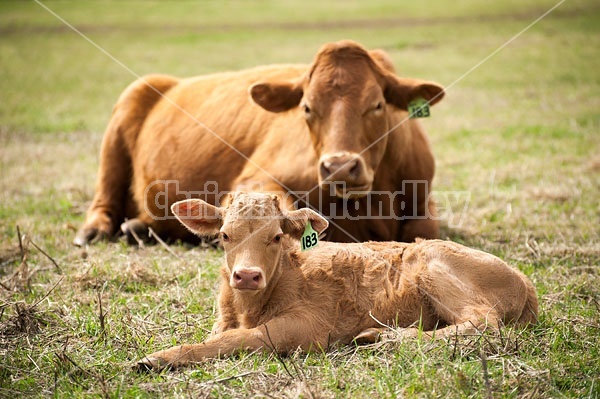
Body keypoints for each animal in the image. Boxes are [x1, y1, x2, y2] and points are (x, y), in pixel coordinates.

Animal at [72, 40, 442, 247]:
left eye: (377, 105)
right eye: (307, 108)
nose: (339, 167)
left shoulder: (424, 201)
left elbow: (425, 230)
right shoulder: (255, 176)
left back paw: (141, 229)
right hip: (127, 107)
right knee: (105, 195)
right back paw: (95, 231)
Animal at [137, 192, 540, 370]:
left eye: (276, 237)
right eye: (224, 235)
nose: (247, 275)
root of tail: (525, 281)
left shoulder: (307, 326)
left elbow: (240, 339)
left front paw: (157, 357)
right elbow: (218, 336)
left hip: (433, 264)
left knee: (482, 322)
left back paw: (388, 340)